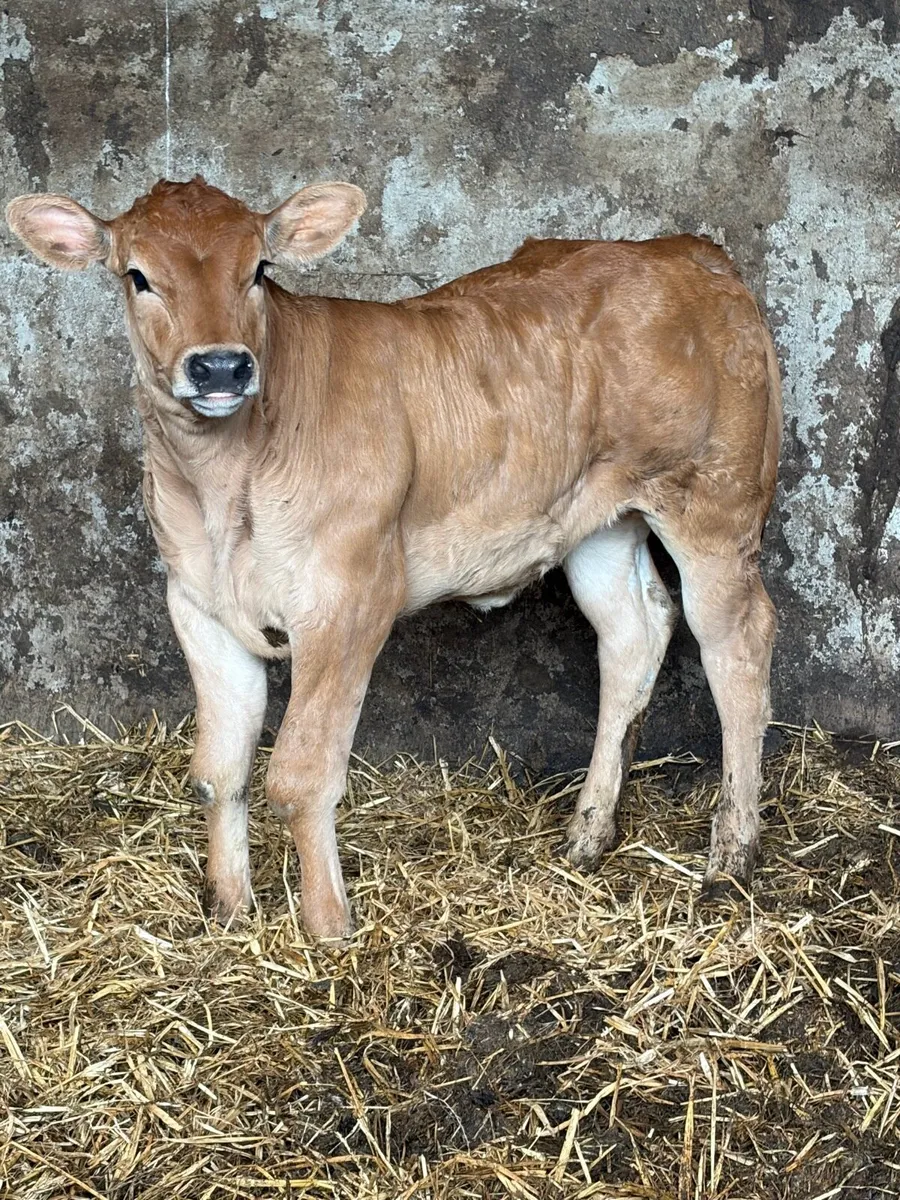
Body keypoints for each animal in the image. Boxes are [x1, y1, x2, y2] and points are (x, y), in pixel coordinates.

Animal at [6, 177, 780, 938]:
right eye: (138, 276)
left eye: (258, 269)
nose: (220, 365)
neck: (225, 482)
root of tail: (686, 250)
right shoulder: (197, 602)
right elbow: (218, 770)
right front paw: (229, 912)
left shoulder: (350, 596)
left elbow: (300, 776)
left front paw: (327, 930)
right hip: (598, 522)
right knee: (633, 634)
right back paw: (587, 835)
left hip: (716, 504)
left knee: (738, 644)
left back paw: (730, 856)